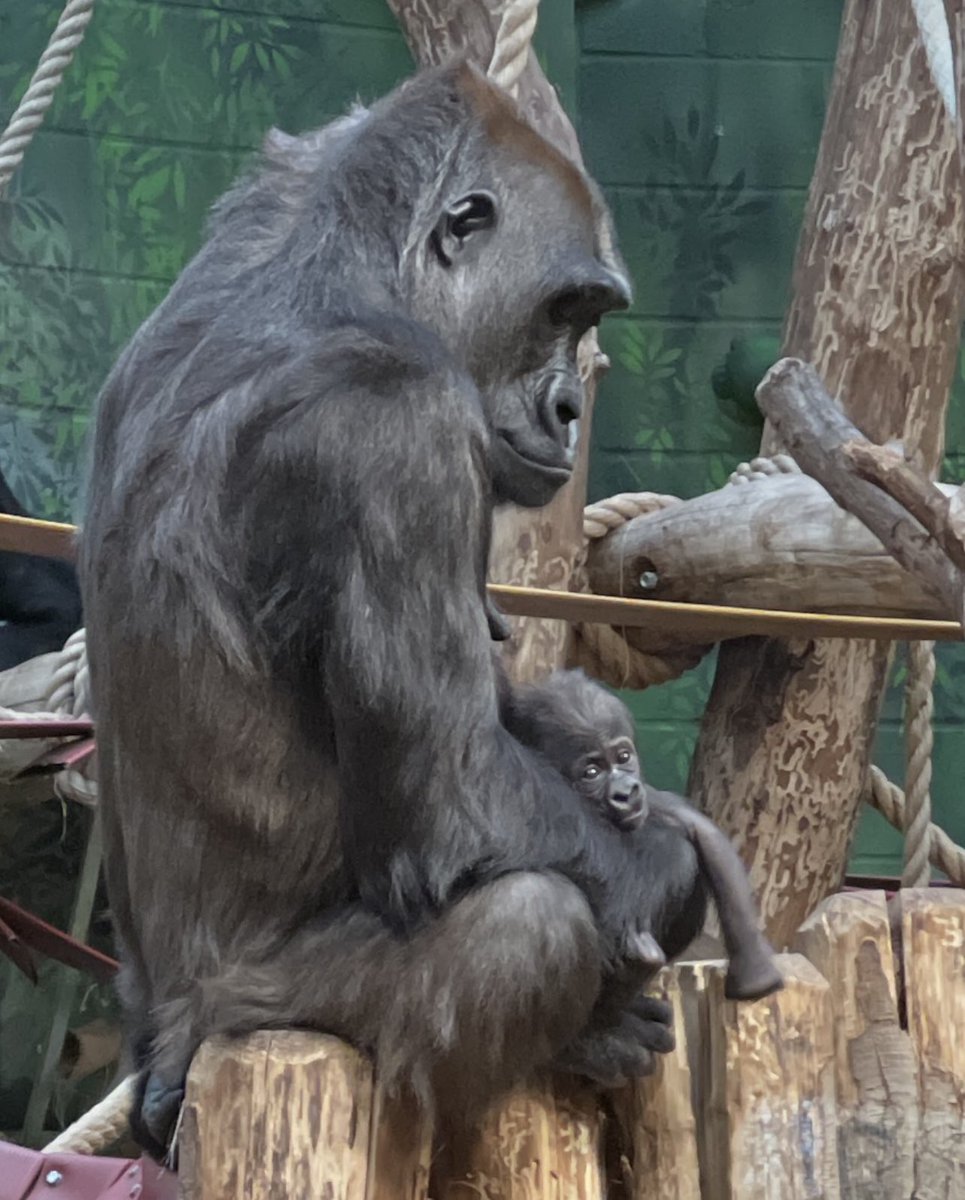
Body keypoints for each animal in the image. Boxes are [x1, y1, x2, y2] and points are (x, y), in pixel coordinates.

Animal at [504, 667, 782, 1003]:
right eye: (591, 772)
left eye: (623, 757)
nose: (626, 792)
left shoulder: (652, 798)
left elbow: (699, 832)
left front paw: (755, 969)